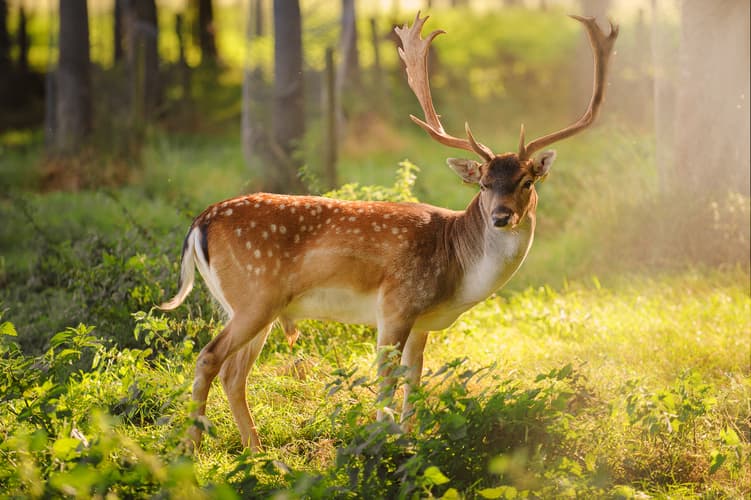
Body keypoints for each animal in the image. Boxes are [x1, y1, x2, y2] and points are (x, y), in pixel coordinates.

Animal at [162, 11, 620, 452]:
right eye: (484, 184)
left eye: (526, 181)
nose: (501, 216)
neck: (456, 268)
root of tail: (199, 223)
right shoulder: (395, 305)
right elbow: (385, 380)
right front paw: (382, 441)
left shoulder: (422, 323)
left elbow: (414, 383)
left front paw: (410, 440)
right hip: (255, 294)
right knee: (209, 358)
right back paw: (191, 448)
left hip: (253, 306)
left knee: (234, 372)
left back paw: (258, 453)